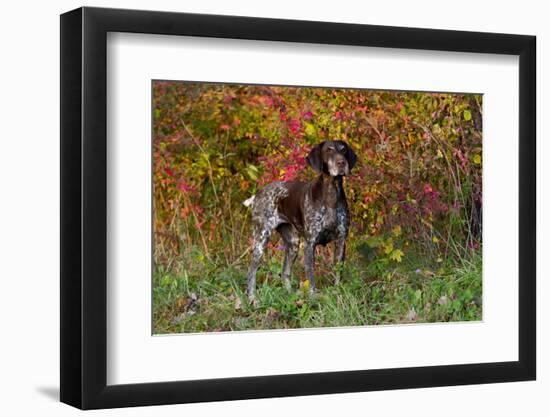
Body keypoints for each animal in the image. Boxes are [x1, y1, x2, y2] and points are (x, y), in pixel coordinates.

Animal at [245, 140, 358, 300]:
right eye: (328, 150)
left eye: (343, 150)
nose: (341, 163)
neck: (331, 193)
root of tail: (258, 194)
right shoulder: (310, 244)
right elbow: (311, 277)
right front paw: (313, 297)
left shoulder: (341, 241)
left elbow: (338, 272)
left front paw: (338, 292)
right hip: (261, 239)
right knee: (251, 271)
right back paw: (252, 299)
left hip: (293, 243)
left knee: (285, 272)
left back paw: (290, 296)